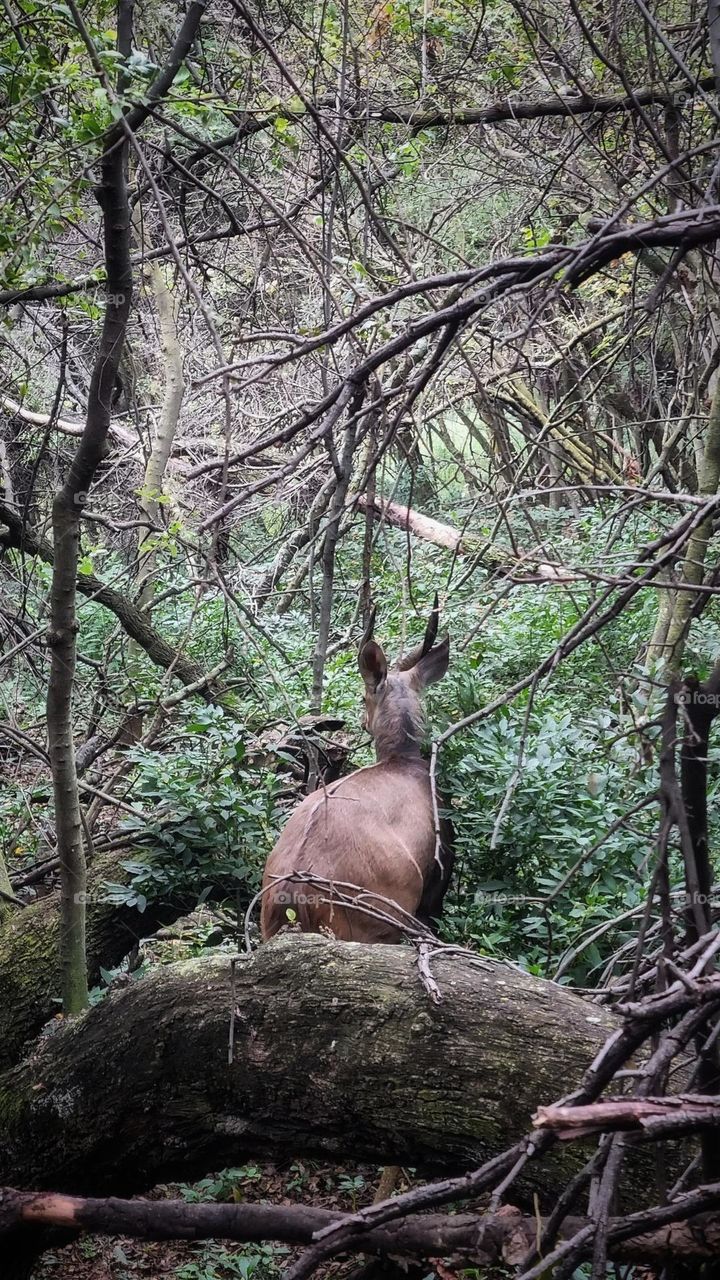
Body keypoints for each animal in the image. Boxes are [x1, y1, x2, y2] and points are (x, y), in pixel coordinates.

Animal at [257, 596, 450, 942]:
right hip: (375, 922)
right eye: (364, 696)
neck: (402, 760)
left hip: (268, 925)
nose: (361, 721)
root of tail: (295, 892)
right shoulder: (439, 872)